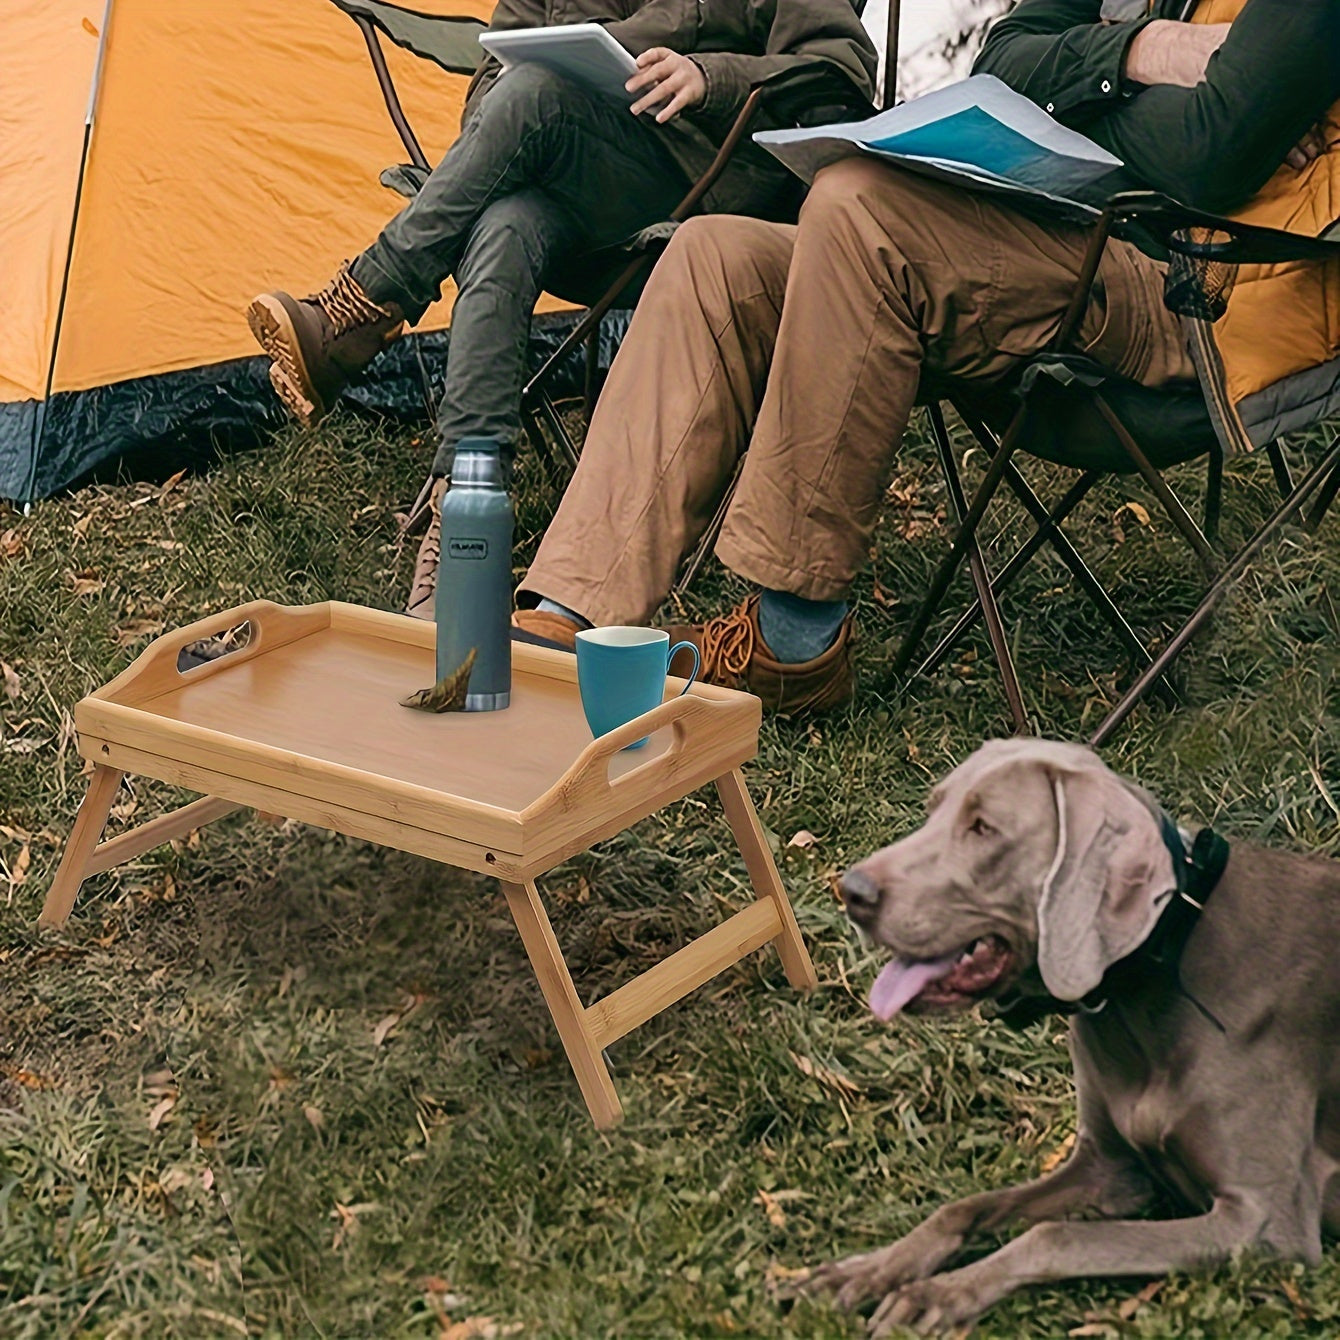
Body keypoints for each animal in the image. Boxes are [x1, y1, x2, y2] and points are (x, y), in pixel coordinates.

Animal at [804, 739, 1340, 1334]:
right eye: (932, 809)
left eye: (984, 828)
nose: (850, 890)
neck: (1154, 976)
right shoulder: (1110, 1168)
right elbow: (962, 1207)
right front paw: (868, 1270)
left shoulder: (1267, 1219)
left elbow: (1054, 1236)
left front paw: (937, 1294)